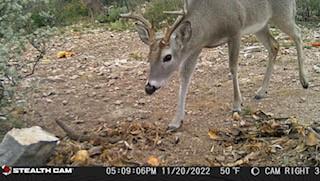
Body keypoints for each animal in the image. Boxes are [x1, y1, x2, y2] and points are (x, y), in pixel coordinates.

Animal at [120, 0, 308, 131]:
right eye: (148, 57)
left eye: (168, 57)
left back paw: (304, 81)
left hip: (282, 14)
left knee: (298, 34)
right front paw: (176, 121)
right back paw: (261, 91)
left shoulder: (235, 30)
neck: (210, 21)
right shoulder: (196, 45)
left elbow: (233, 66)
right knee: (275, 46)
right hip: (260, 25)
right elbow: (185, 77)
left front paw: (237, 104)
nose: (149, 87)